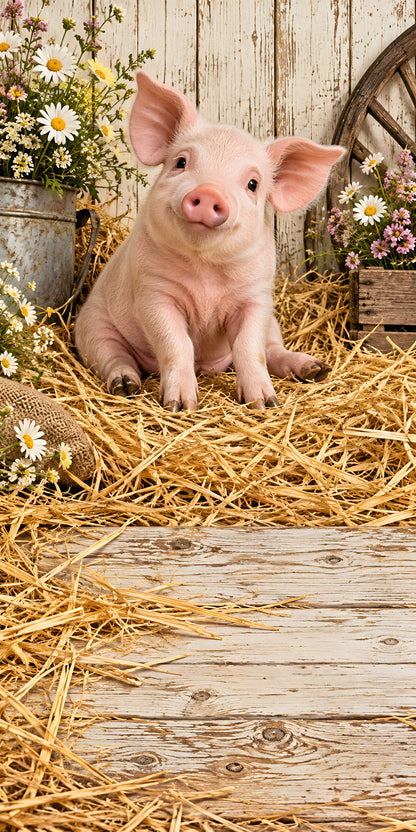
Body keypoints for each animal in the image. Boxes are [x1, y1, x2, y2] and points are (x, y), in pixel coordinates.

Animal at [75, 71, 344, 411]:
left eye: (253, 184)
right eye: (180, 162)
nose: (209, 192)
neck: (206, 272)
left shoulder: (257, 298)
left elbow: (249, 347)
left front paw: (265, 404)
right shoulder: (153, 293)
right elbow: (176, 343)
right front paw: (180, 406)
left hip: (273, 324)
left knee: (272, 350)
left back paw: (316, 370)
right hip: (91, 328)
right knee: (114, 356)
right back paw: (126, 386)